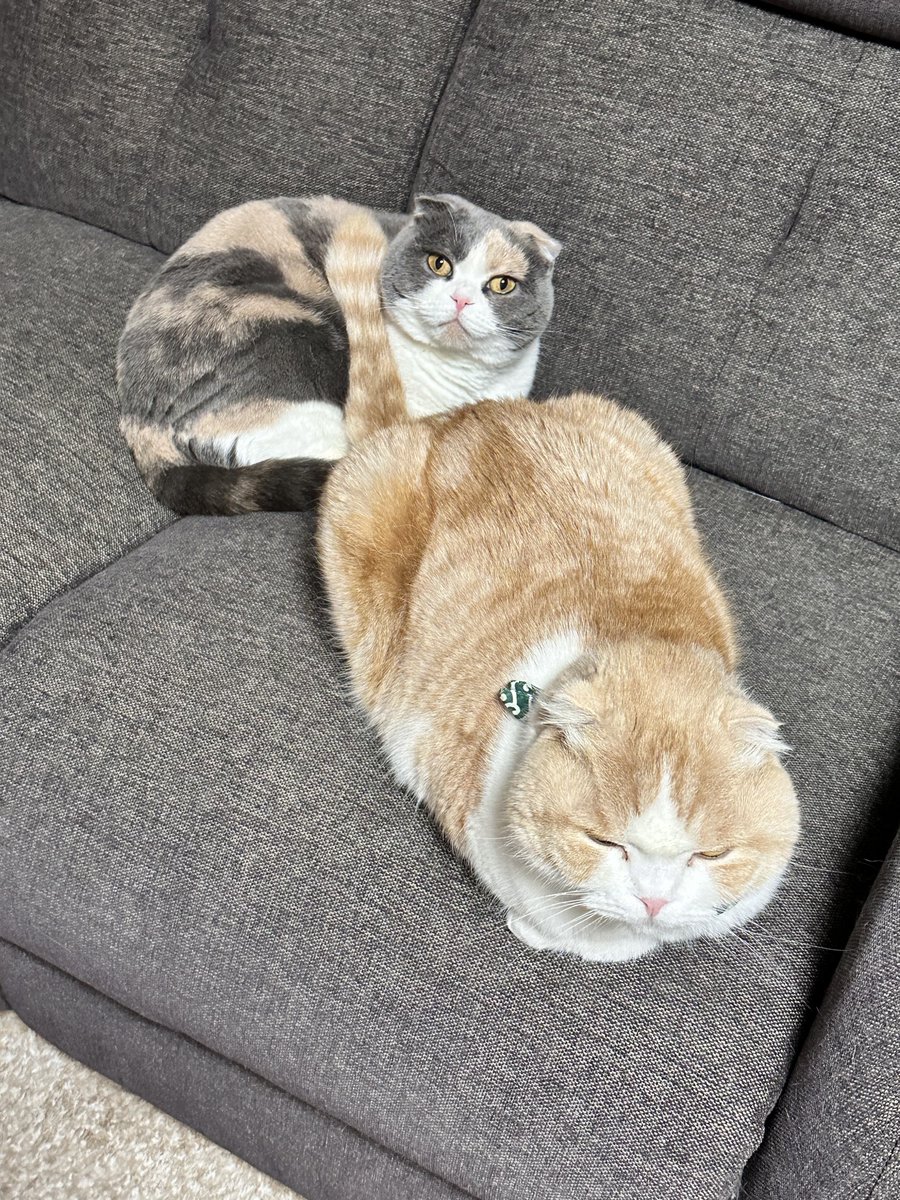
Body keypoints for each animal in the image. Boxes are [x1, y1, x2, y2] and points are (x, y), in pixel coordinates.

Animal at [117, 193, 560, 515]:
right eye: (439, 264)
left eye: (502, 284)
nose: (461, 299)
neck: (459, 381)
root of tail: (139, 423)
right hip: (291, 345)